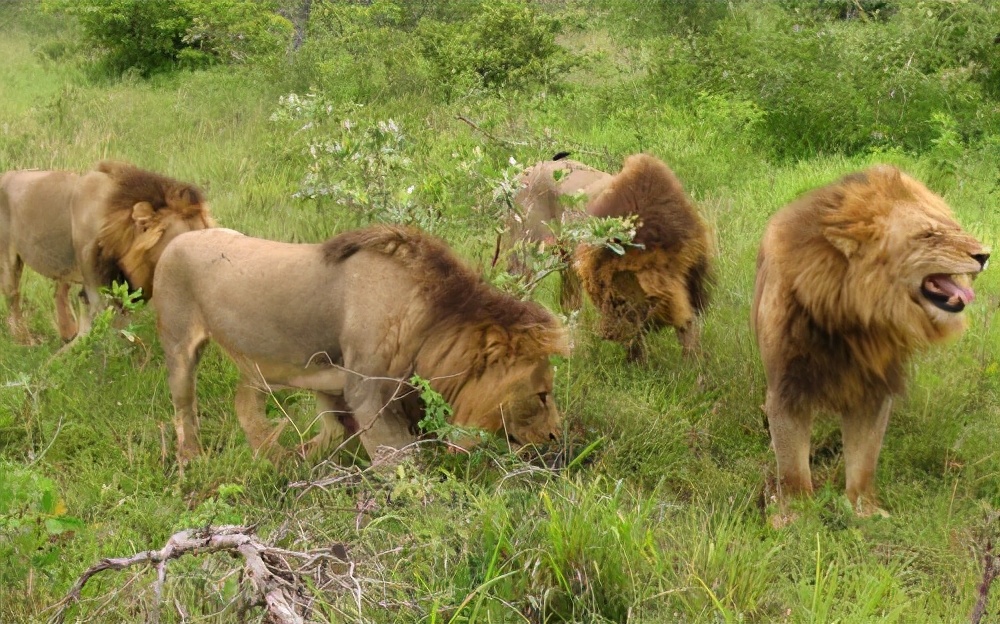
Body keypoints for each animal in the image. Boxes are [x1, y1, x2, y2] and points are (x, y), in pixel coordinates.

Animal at [0, 160, 217, 342]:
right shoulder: (97, 287)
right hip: (8, 262)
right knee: (13, 299)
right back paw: (24, 341)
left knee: (59, 292)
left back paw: (66, 332)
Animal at [152, 222, 568, 466]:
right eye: (542, 394)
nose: (556, 437)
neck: (429, 325)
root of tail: (180, 238)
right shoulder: (367, 396)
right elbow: (402, 467)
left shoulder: (334, 384)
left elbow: (334, 431)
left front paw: (303, 460)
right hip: (178, 348)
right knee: (184, 409)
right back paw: (192, 461)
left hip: (256, 366)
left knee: (243, 403)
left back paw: (270, 457)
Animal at [508, 152, 712, 364]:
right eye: (613, 299)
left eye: (620, 302)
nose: (606, 335)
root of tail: (525, 172)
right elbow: (637, 336)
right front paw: (639, 365)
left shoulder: (690, 282)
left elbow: (689, 331)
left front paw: (693, 366)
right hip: (527, 259)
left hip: (567, 264)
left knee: (570, 305)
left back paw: (575, 352)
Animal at [752, 163, 988, 520]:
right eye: (928, 235)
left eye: (954, 228)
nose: (985, 255)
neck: (854, 317)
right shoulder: (787, 386)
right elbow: (791, 464)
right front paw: (796, 516)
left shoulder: (874, 389)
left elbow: (864, 459)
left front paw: (864, 511)